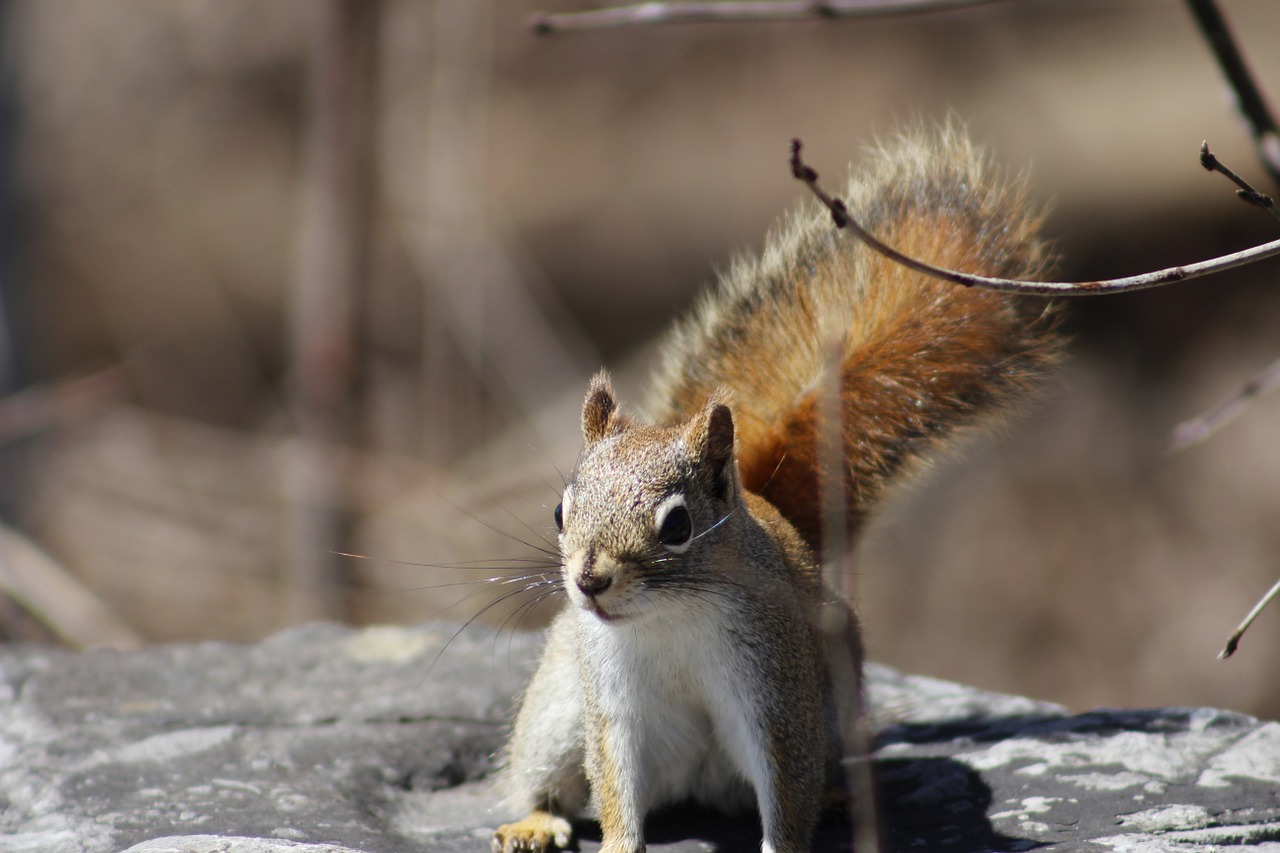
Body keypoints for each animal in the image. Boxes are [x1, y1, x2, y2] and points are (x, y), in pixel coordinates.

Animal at [488, 126, 1059, 850]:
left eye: (678, 524)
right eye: (561, 511)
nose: (589, 582)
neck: (669, 617)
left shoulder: (775, 685)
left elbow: (785, 781)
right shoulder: (611, 699)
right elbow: (614, 779)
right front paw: (616, 841)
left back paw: (838, 798)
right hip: (555, 709)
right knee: (544, 776)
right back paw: (533, 821)